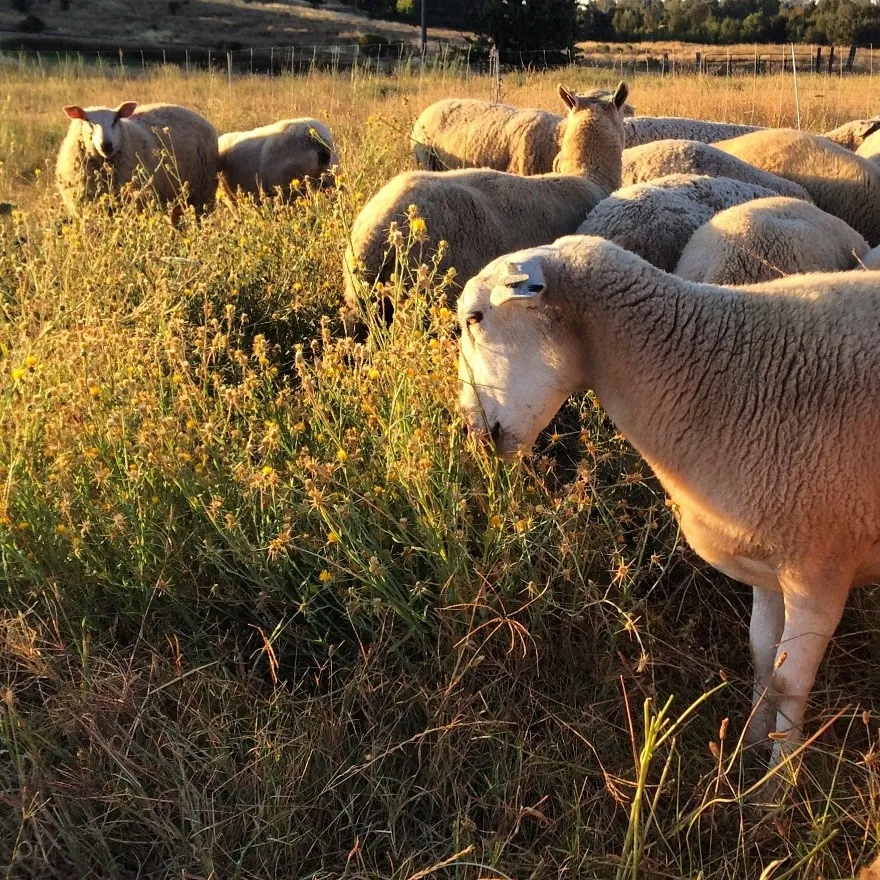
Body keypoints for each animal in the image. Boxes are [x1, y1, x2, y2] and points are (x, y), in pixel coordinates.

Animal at [457, 232, 880, 765]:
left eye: (474, 318)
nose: (470, 433)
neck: (714, 377)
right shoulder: (768, 565)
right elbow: (763, 659)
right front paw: (747, 749)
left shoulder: (818, 570)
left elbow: (788, 683)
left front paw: (776, 780)